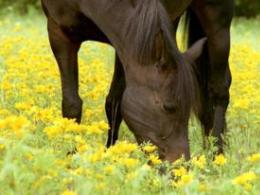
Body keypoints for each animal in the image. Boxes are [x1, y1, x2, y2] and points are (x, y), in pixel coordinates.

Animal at [41, 0, 234, 161]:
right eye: (168, 107)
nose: (181, 164)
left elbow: (115, 103)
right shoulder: (59, 32)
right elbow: (72, 105)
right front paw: (72, 157)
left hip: (217, 18)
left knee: (219, 90)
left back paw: (216, 155)